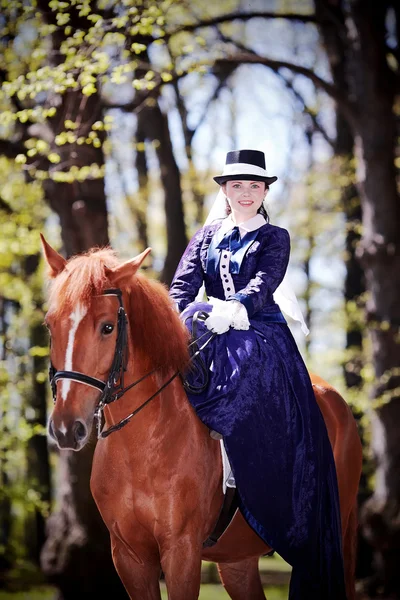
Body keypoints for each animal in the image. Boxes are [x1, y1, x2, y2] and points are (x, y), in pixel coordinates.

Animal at [42, 238, 364, 600]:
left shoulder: (181, 551)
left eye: (107, 327)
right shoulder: (129, 556)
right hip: (237, 558)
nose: (66, 428)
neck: (142, 447)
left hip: (326, 543)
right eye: (50, 325)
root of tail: (335, 400)